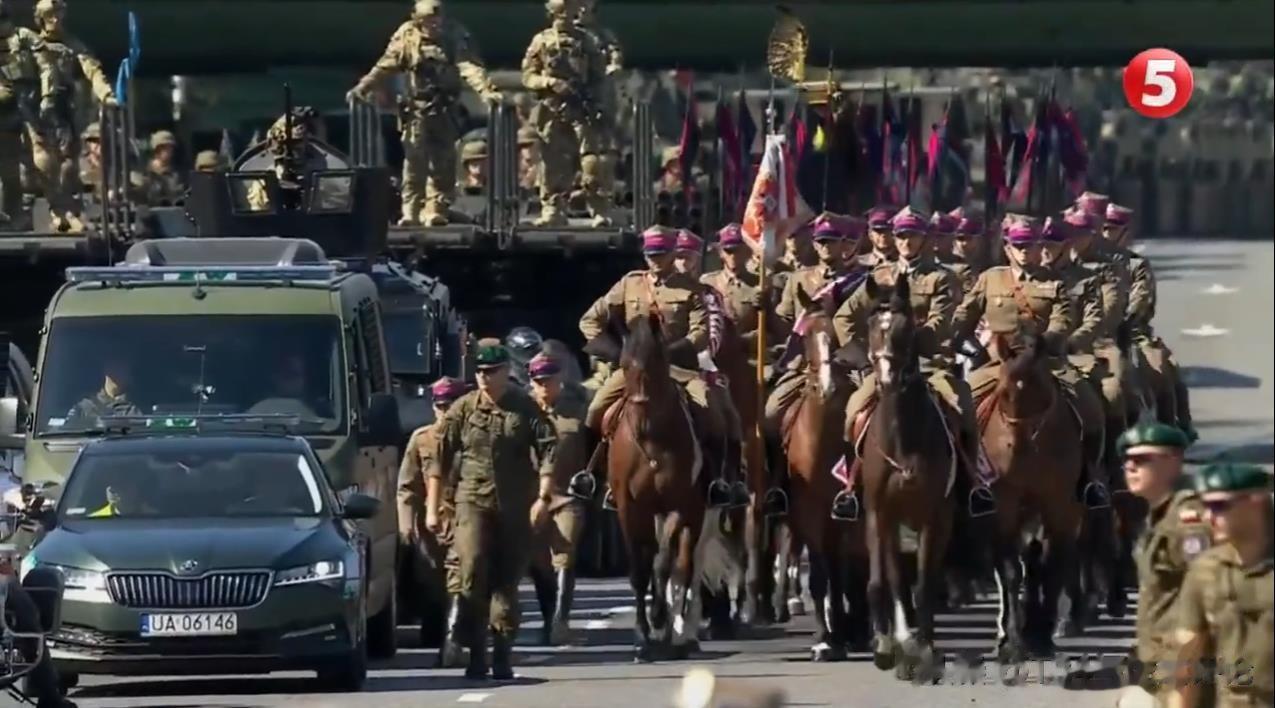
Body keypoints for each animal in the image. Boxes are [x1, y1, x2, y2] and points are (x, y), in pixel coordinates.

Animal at [609, 312, 708, 663]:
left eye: (656, 361)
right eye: (624, 364)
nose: (639, 416)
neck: (652, 441)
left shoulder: (679, 505)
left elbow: (665, 564)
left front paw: (659, 619)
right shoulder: (629, 508)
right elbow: (640, 572)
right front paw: (641, 638)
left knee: (681, 566)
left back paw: (677, 632)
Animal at [770, 285, 872, 663]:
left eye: (835, 333)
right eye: (804, 336)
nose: (826, 387)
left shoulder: (848, 514)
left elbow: (848, 573)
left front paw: (846, 632)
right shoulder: (810, 514)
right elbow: (820, 577)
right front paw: (826, 638)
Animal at [974, 331, 1086, 663]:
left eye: (1040, 391)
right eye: (1003, 393)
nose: (1020, 451)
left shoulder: (1059, 505)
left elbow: (1051, 564)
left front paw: (1040, 636)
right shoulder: (1003, 506)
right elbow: (1010, 570)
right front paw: (1013, 642)